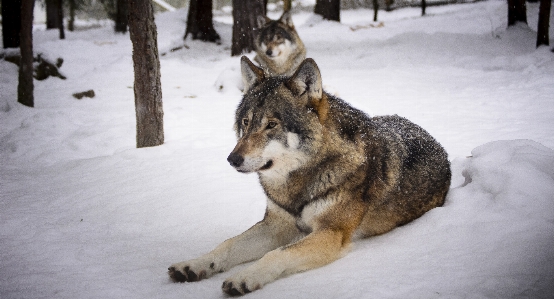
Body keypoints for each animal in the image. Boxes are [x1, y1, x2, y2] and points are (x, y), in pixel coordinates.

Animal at [169, 56, 452, 298]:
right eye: (246, 122)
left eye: (271, 125)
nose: (232, 159)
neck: (299, 179)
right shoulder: (276, 225)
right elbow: (227, 244)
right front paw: (194, 264)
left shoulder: (331, 233)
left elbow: (276, 255)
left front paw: (244, 277)